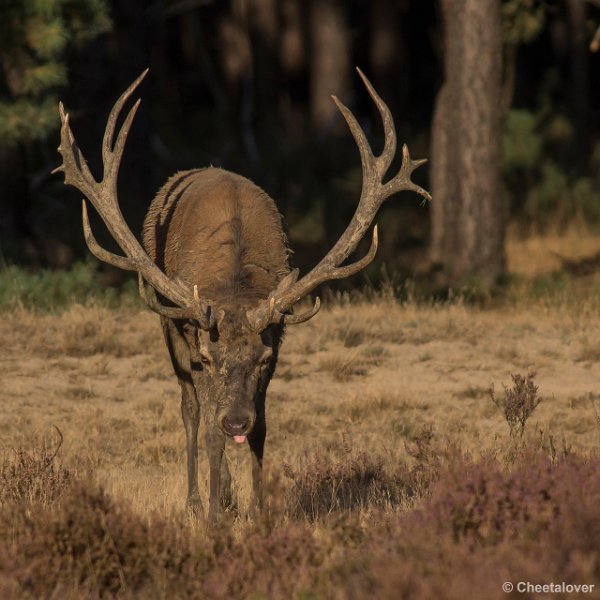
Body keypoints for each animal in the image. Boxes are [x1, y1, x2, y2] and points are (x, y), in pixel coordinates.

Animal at [50, 68, 426, 524]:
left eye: (262, 358)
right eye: (210, 357)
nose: (235, 422)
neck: (234, 285)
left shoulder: (277, 339)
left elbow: (262, 430)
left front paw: (259, 512)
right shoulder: (193, 342)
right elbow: (209, 431)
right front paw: (214, 514)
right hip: (169, 327)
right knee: (192, 410)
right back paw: (199, 499)